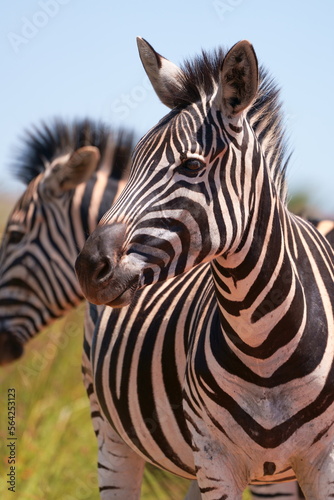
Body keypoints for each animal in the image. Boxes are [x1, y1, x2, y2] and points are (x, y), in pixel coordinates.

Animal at [75, 37, 334, 498]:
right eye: (132, 162)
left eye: (192, 165)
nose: (89, 267)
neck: (263, 348)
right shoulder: (215, 460)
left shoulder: (324, 464)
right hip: (109, 433)